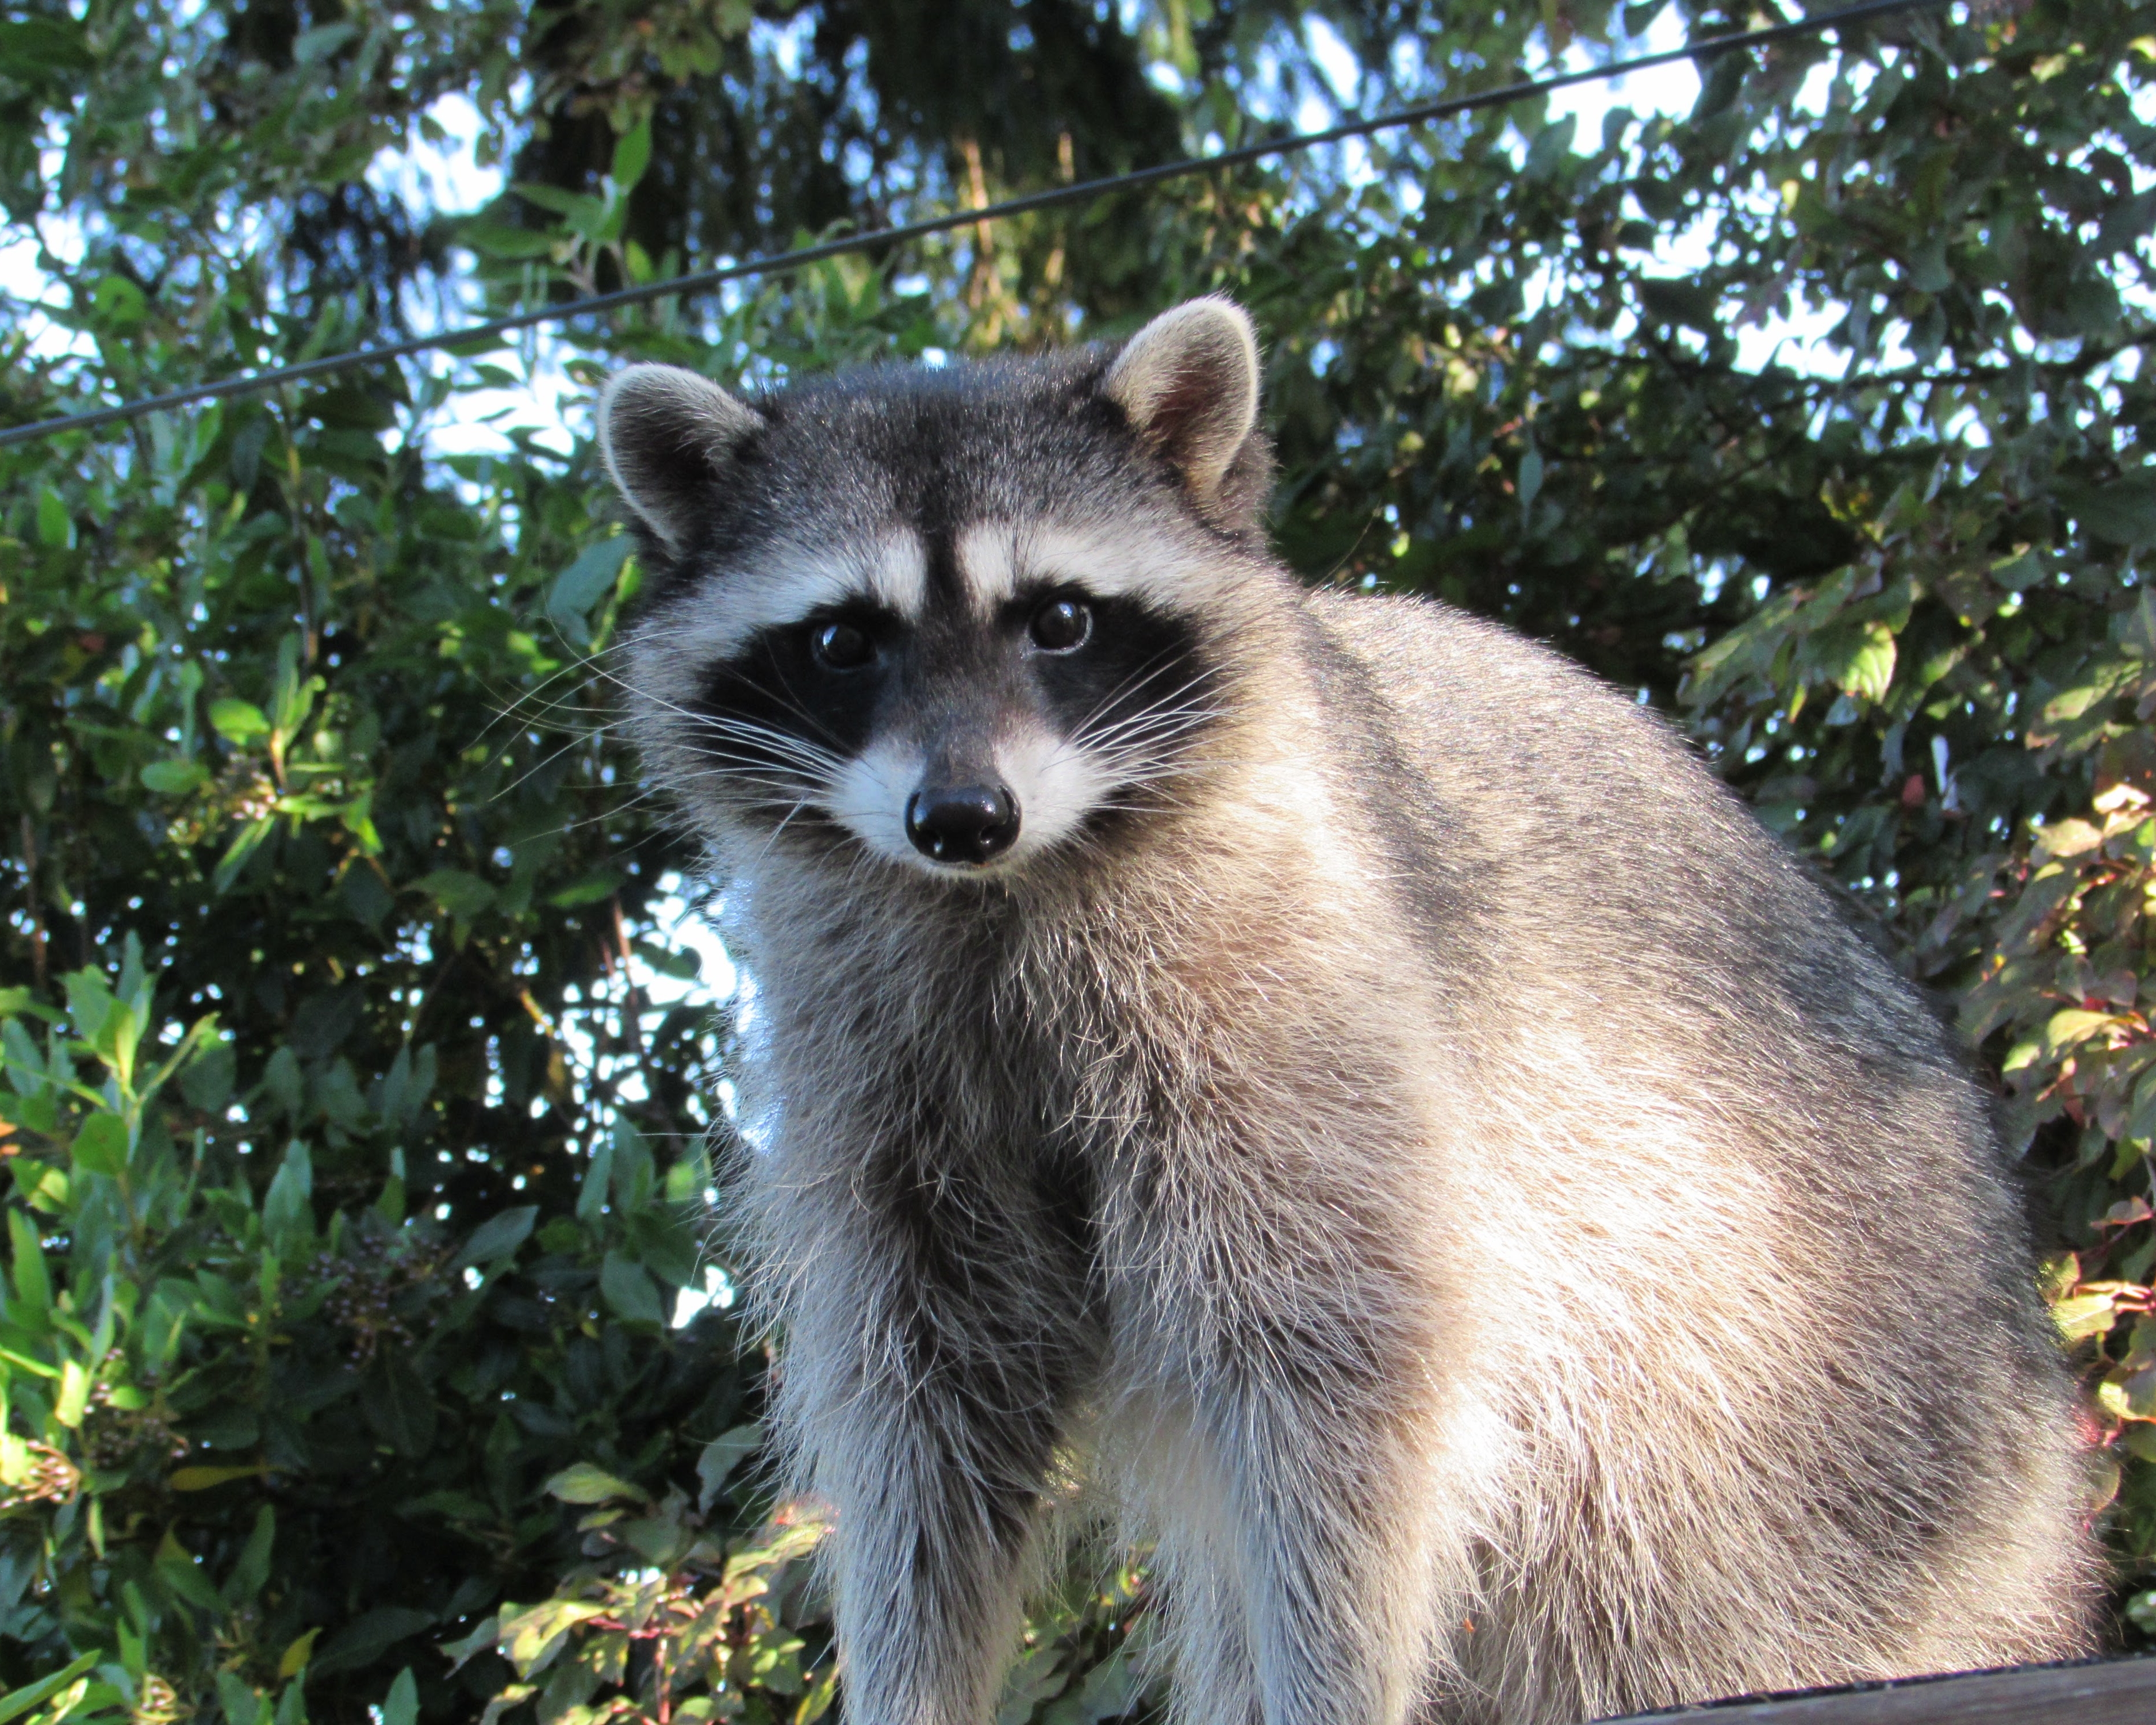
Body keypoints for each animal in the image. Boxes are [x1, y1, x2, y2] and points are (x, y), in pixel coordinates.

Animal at [590, 300, 2087, 1725]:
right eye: (843, 642)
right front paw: (912, 1682)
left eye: (1058, 620)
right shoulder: (881, 1063)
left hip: (1793, 1401)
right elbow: (932, 1400)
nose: (961, 817)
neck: (1002, 896)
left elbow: (1346, 1375)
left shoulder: (1300, 989)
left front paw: (1333, 1681)